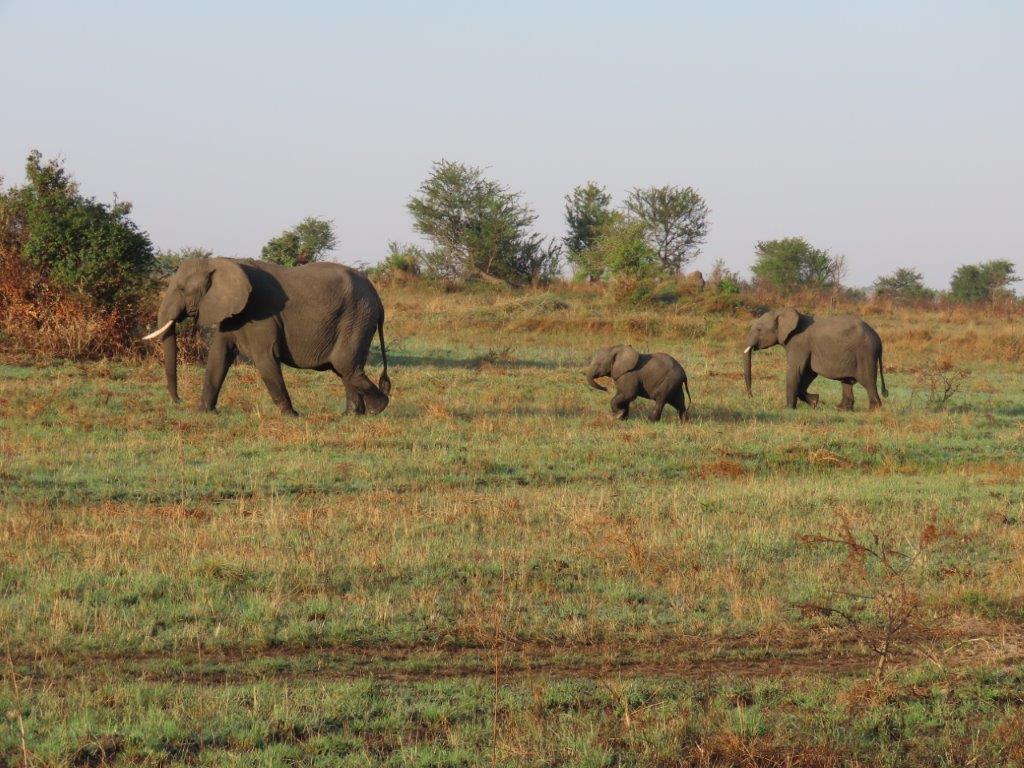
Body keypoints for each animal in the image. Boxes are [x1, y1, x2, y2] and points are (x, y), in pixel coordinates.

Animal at [142, 257, 390, 416]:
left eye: (182, 289)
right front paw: (204, 413)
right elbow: (219, 356)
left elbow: (265, 358)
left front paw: (291, 416)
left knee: (345, 365)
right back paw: (351, 415)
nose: (178, 401)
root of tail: (378, 299)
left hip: (357, 317)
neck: (219, 262)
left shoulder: (261, 313)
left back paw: (379, 408)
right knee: (345, 369)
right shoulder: (233, 312)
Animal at [743, 308, 887, 410]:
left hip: (865, 353)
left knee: (867, 381)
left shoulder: (799, 343)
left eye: (759, 329)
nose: (751, 397)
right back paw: (841, 408)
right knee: (846, 381)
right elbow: (808, 373)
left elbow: (795, 371)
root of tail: (878, 338)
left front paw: (789, 408)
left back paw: (873, 409)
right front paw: (815, 402)